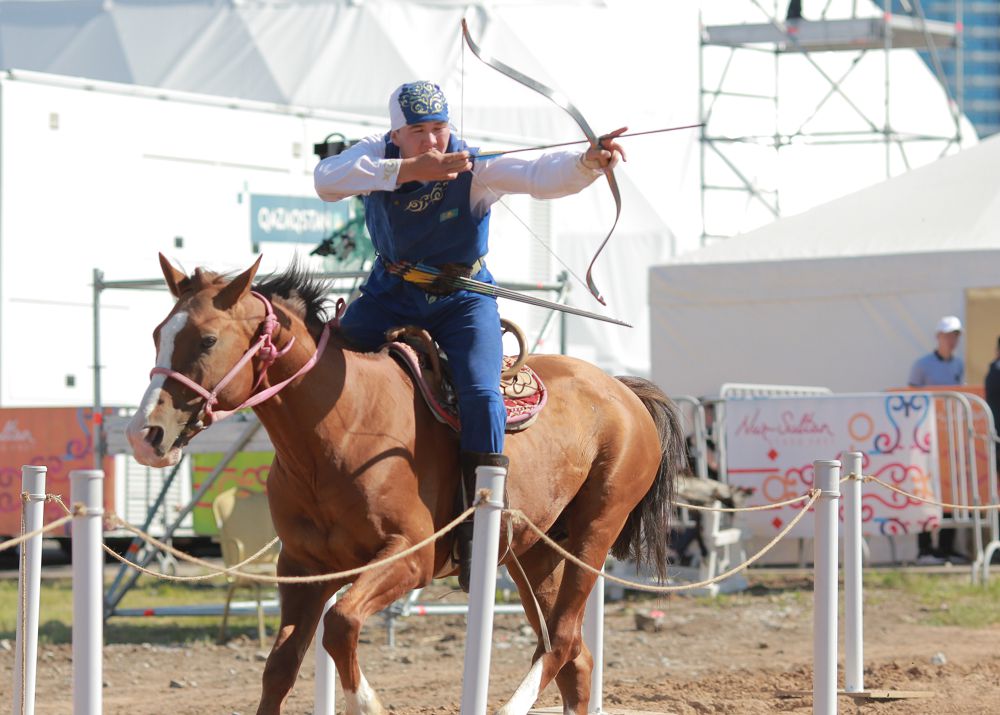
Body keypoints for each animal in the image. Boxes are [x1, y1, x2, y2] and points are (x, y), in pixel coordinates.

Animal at [125, 258, 688, 715]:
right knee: (575, 658)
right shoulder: (302, 569)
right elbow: (280, 667)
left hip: (594, 534)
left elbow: (341, 625)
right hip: (536, 554)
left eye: (208, 339)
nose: (144, 435)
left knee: (564, 641)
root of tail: (622, 391)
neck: (341, 428)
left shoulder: (409, 557)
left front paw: (368, 703)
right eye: (155, 334)